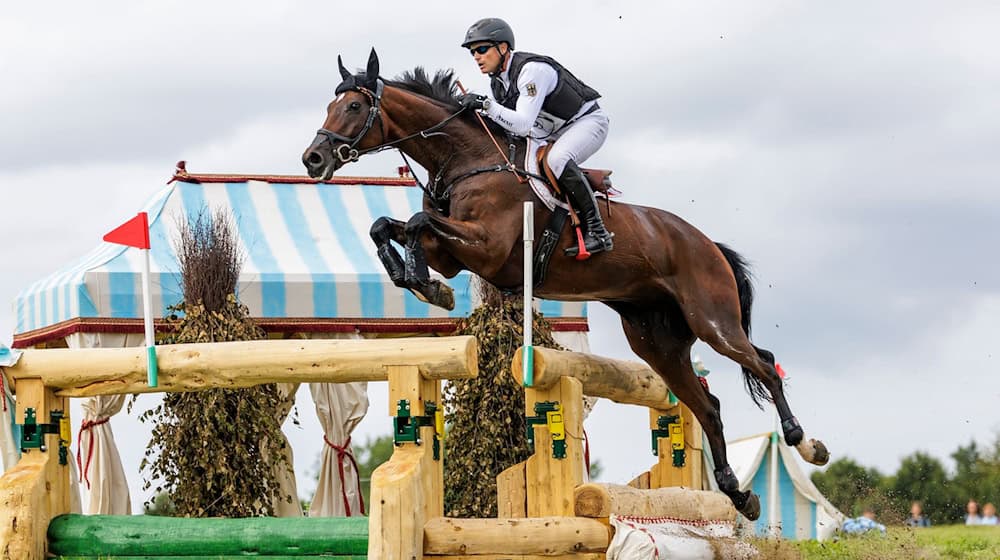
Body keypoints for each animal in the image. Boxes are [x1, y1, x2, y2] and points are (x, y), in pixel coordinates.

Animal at [300, 49, 832, 520]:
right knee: (710, 405)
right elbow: (386, 227)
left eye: (352, 106)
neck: (469, 158)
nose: (313, 159)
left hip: (712, 319)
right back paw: (737, 494)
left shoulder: (486, 247)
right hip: (656, 342)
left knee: (764, 364)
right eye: (328, 105)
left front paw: (420, 281)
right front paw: (424, 284)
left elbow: (412, 222)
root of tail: (708, 243)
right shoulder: (455, 254)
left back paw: (806, 443)